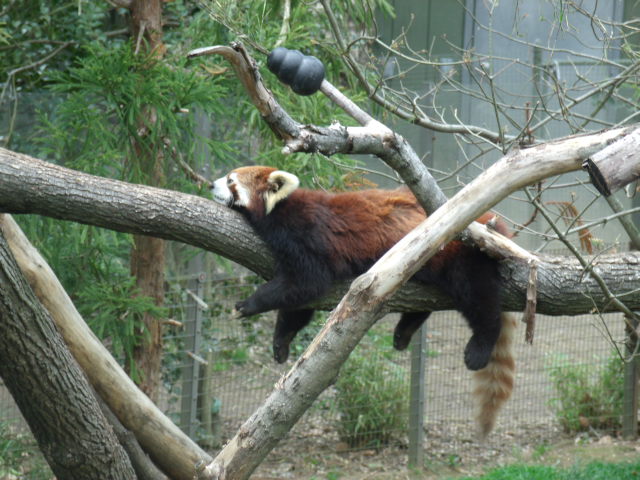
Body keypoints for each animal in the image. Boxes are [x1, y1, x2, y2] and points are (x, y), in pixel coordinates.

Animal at [212, 165, 516, 435]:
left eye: (230, 180)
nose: (210, 185)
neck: (282, 209)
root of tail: (492, 220)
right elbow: (298, 306)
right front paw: (281, 340)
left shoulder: (306, 236)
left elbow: (306, 284)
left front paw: (248, 305)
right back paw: (404, 331)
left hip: (465, 255)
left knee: (479, 300)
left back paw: (480, 346)